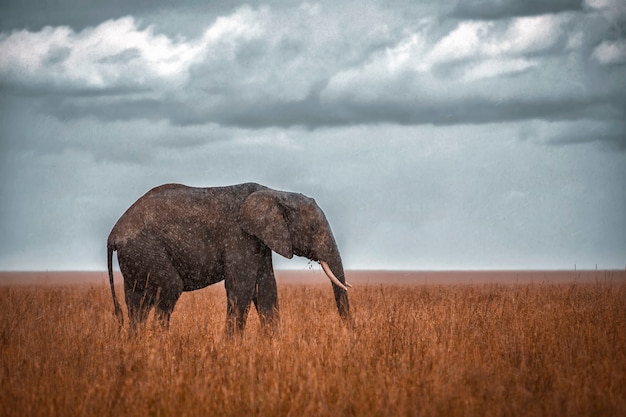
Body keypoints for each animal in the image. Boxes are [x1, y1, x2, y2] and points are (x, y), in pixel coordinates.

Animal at [108, 182, 352, 334]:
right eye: (313, 229)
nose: (349, 335)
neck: (276, 193)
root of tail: (113, 235)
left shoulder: (260, 240)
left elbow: (266, 289)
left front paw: (273, 346)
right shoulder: (239, 236)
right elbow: (242, 288)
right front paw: (231, 347)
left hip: (135, 259)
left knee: (137, 303)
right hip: (145, 249)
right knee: (168, 290)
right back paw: (161, 344)